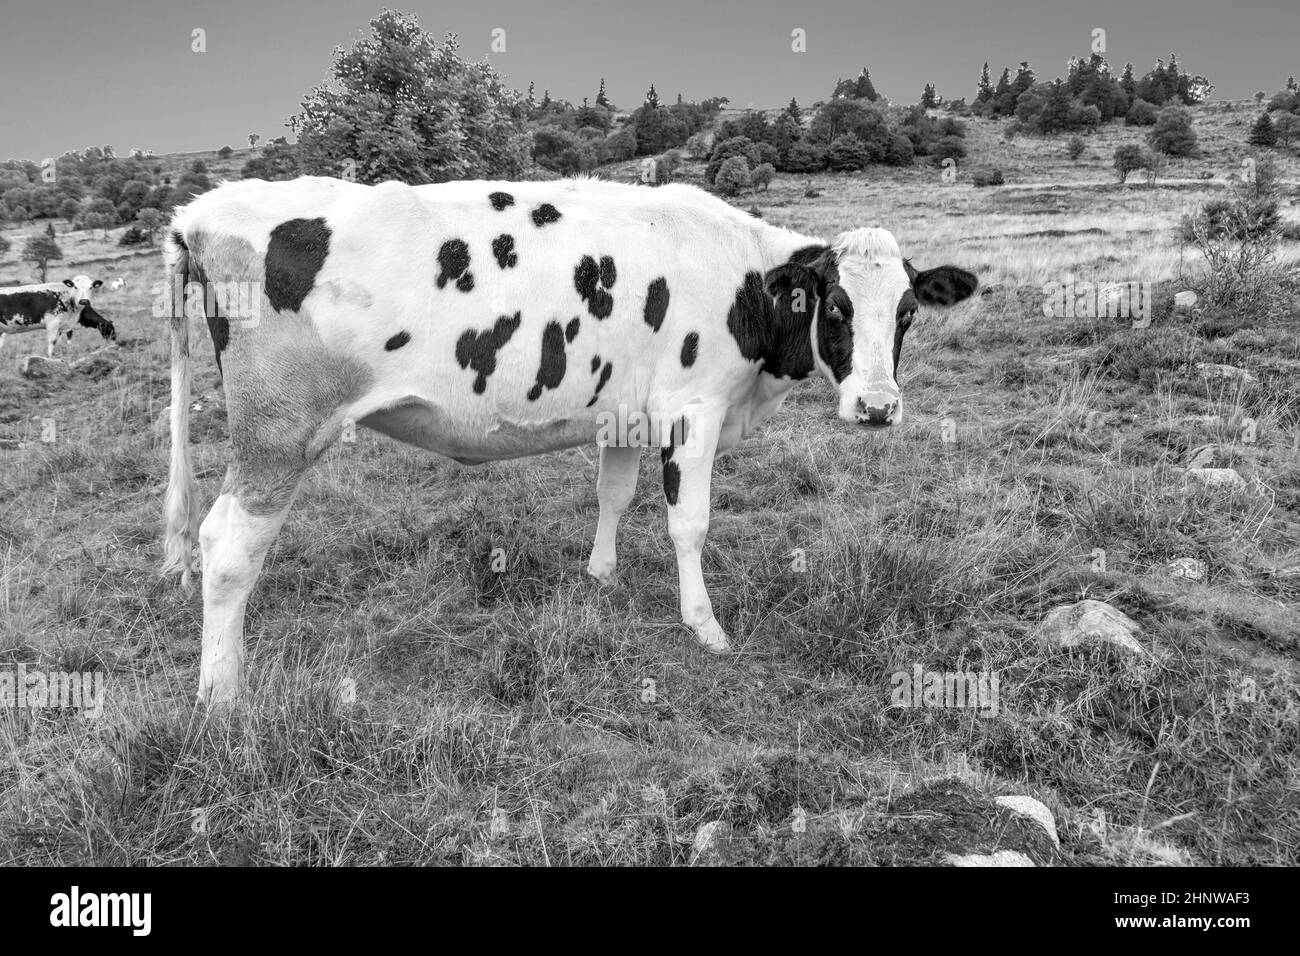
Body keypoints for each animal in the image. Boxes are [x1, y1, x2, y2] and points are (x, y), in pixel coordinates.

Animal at [160, 175, 977, 704]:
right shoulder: (692, 409)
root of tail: (202, 209)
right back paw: (221, 695)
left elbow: (613, 494)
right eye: (833, 305)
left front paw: (601, 574)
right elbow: (689, 523)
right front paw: (705, 626)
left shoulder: (626, 410)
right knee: (226, 546)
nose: (877, 406)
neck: (745, 281)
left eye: (907, 311)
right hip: (278, 433)